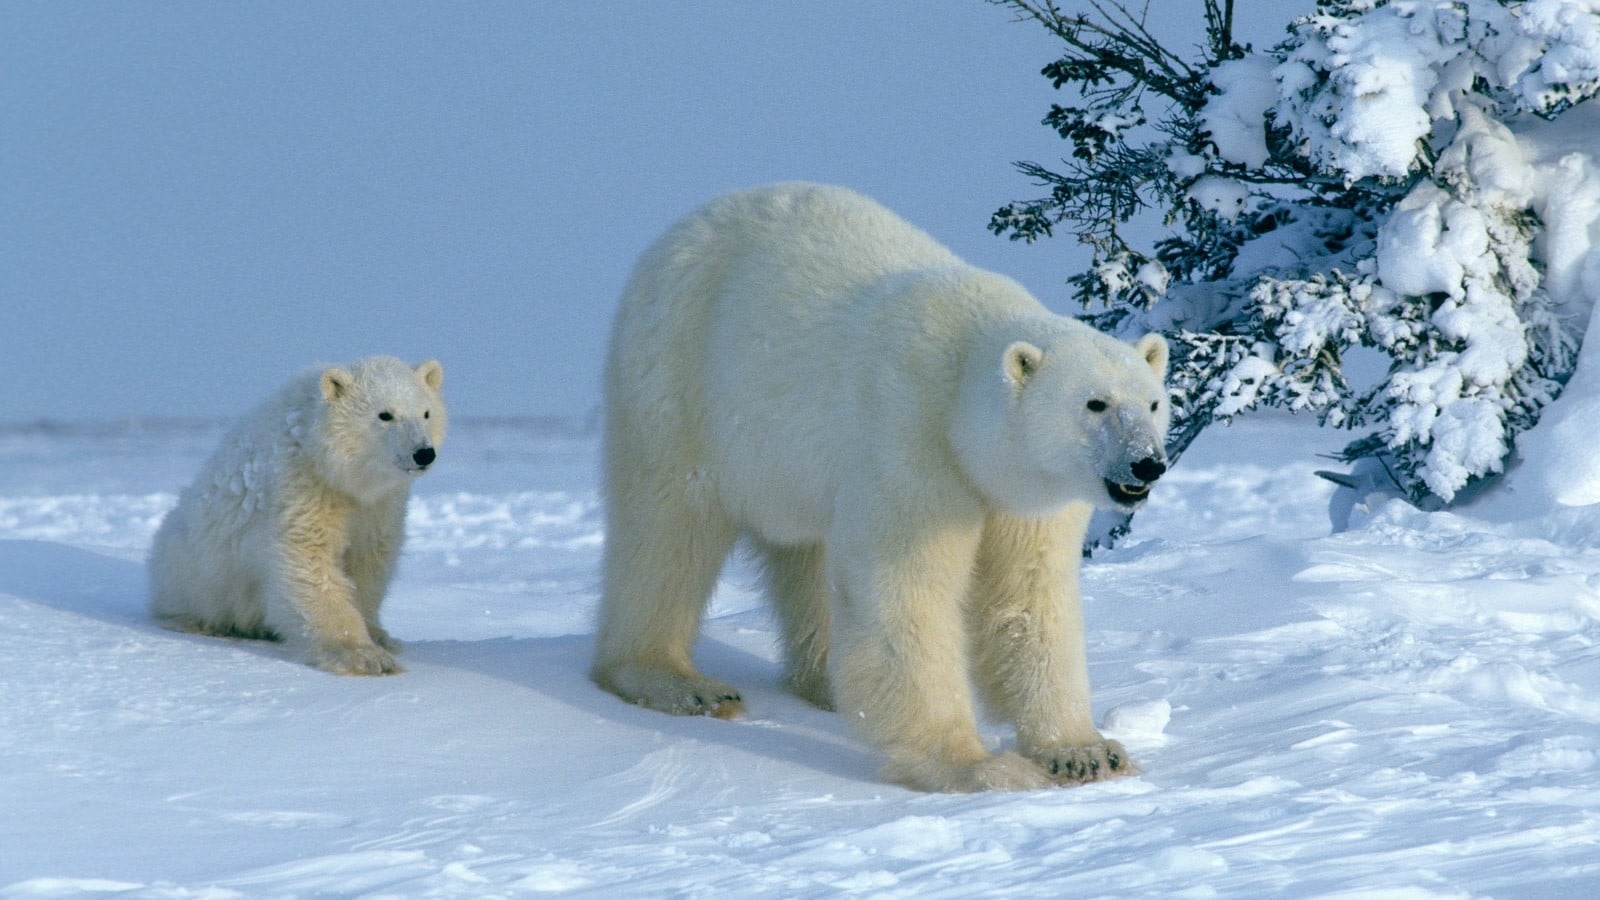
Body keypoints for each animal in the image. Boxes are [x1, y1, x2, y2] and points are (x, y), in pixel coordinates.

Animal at [595, 182, 1171, 784]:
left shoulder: (1028, 499)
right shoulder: (909, 436)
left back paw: (827, 683)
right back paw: (681, 683)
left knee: (809, 557)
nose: (1147, 464)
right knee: (667, 531)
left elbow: (1028, 596)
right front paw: (979, 767)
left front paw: (1085, 752)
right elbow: (905, 590)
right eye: (1095, 403)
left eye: (1153, 403)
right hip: (679, 377)